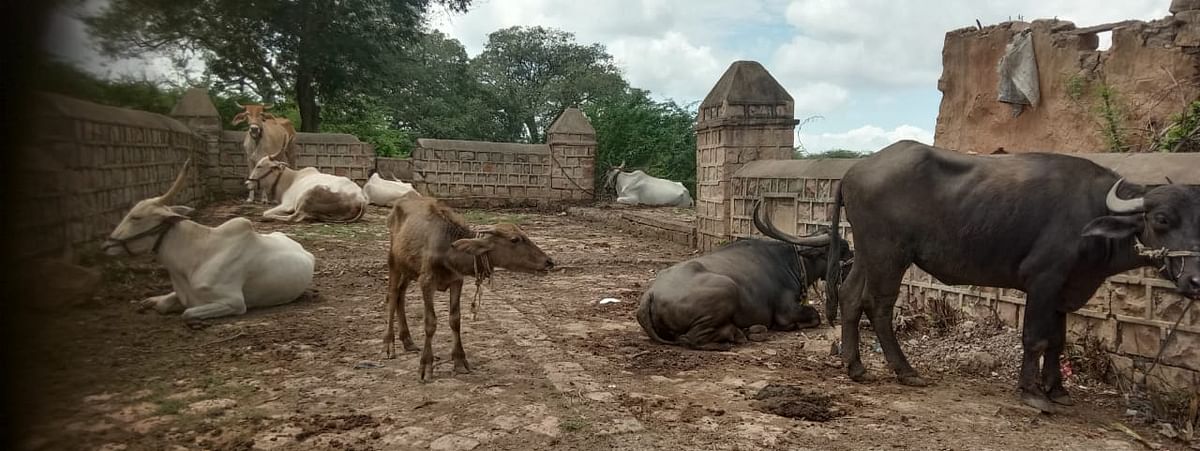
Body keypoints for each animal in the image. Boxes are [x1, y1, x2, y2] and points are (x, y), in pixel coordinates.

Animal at [103, 159, 316, 321]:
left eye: (136, 217)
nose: (106, 245)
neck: (199, 253)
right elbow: (164, 304)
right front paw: (153, 301)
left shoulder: (234, 302)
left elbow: (187, 313)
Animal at [381, 197, 554, 381]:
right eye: (514, 239)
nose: (548, 261)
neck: (448, 250)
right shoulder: (426, 282)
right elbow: (430, 322)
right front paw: (426, 365)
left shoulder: (457, 281)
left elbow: (455, 319)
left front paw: (459, 361)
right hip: (393, 262)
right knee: (392, 295)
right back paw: (388, 344)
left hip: (408, 269)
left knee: (401, 294)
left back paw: (408, 340)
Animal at [638, 202, 854, 350]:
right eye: (843, 248)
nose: (852, 263)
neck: (793, 263)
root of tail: (651, 295)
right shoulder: (786, 312)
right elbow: (813, 316)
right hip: (727, 288)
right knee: (690, 338)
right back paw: (739, 334)